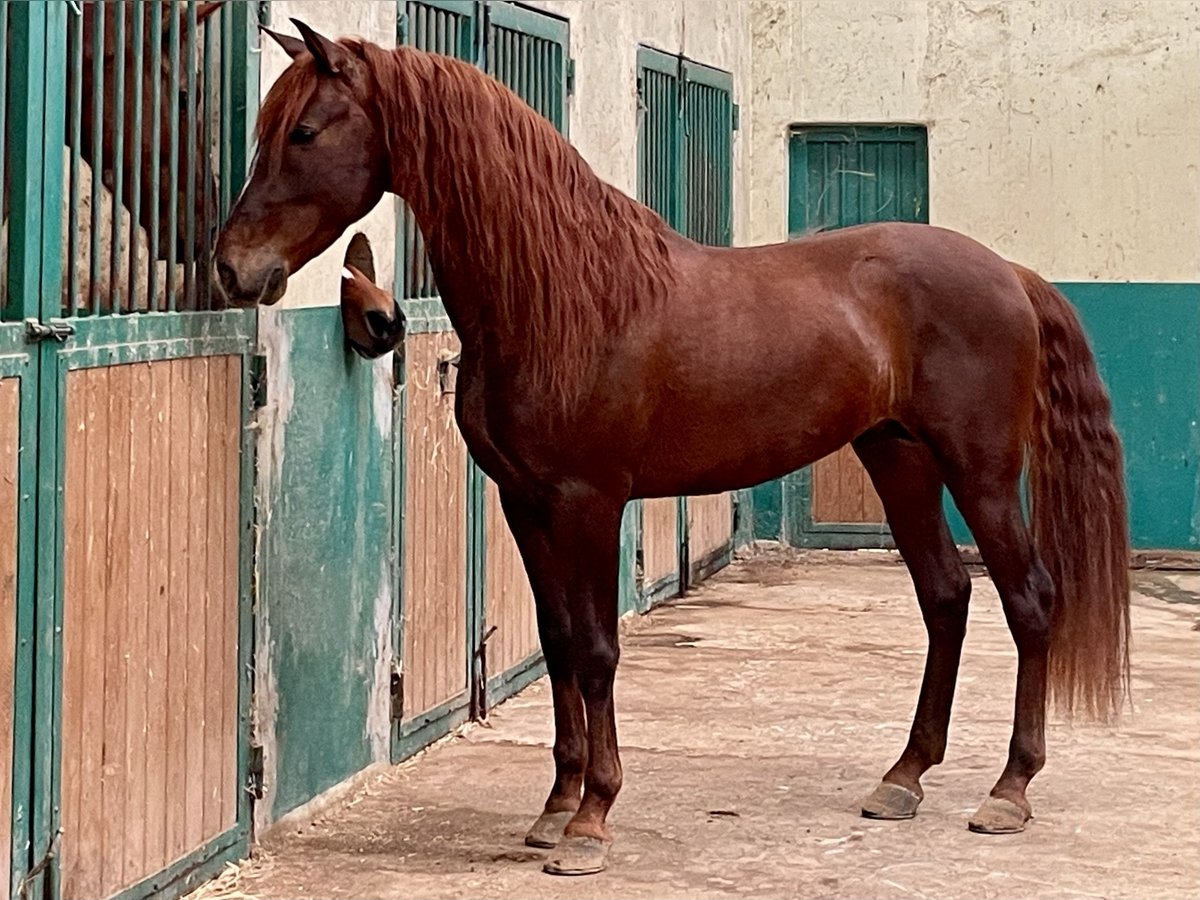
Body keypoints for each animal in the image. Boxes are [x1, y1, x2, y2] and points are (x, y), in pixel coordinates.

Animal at [213, 22, 1123, 883]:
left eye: (304, 131)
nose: (231, 269)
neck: (559, 297)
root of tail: (1008, 272)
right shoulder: (524, 502)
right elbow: (556, 641)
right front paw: (555, 804)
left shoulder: (589, 502)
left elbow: (596, 649)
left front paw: (590, 822)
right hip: (898, 460)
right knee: (946, 597)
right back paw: (903, 778)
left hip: (981, 473)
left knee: (1030, 601)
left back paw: (1008, 790)